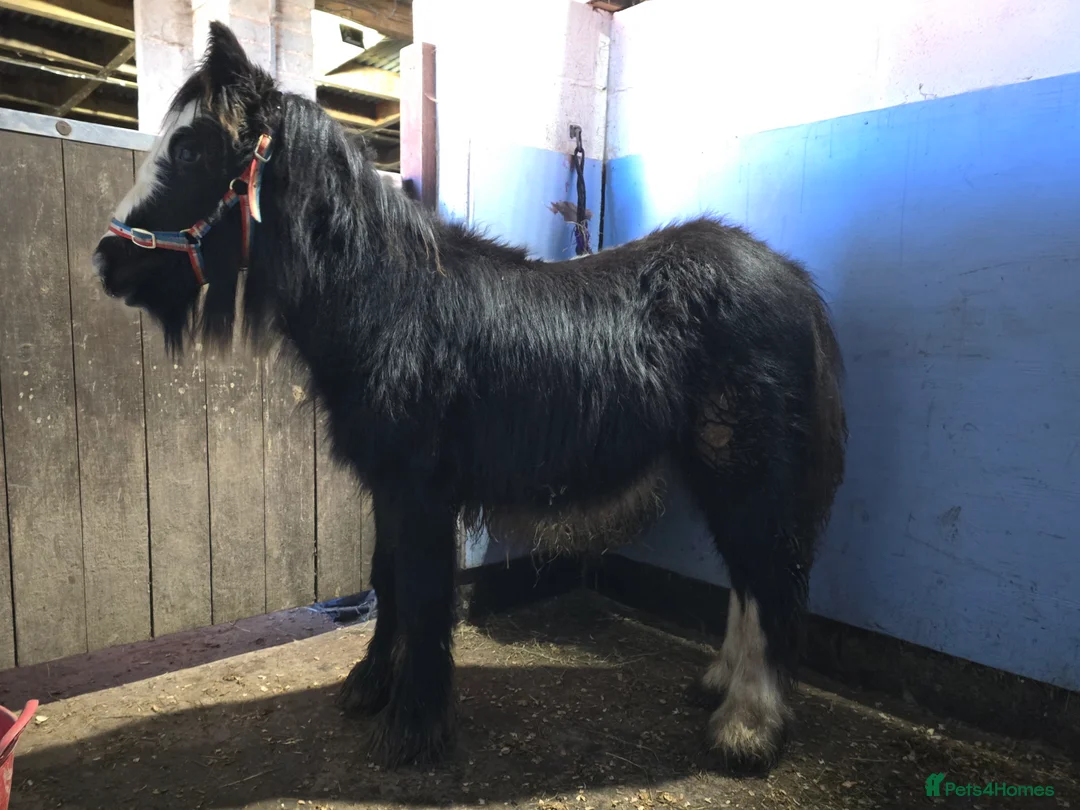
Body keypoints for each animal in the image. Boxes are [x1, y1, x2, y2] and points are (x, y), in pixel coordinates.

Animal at [93, 22, 848, 774]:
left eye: (192, 149)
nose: (107, 261)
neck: (389, 302)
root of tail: (792, 280)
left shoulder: (423, 489)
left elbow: (423, 593)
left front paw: (414, 725)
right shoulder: (388, 487)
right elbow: (388, 581)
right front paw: (372, 686)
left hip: (745, 470)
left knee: (769, 576)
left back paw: (747, 726)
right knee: (749, 578)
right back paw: (720, 687)